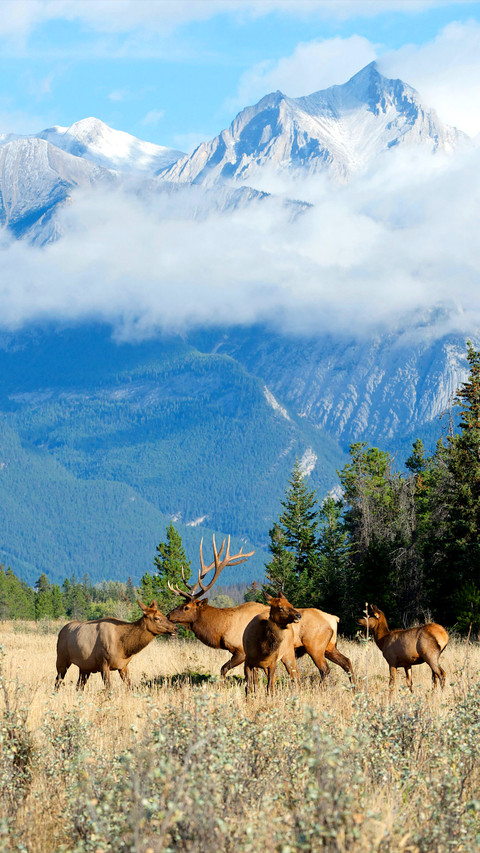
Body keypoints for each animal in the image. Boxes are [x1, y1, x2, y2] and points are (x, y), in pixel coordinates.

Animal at [167, 536, 350, 685]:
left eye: (186, 607)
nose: (169, 615)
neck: (222, 628)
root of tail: (334, 619)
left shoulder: (241, 651)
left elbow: (225, 670)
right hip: (329, 646)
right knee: (347, 663)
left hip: (315, 646)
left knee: (324, 669)